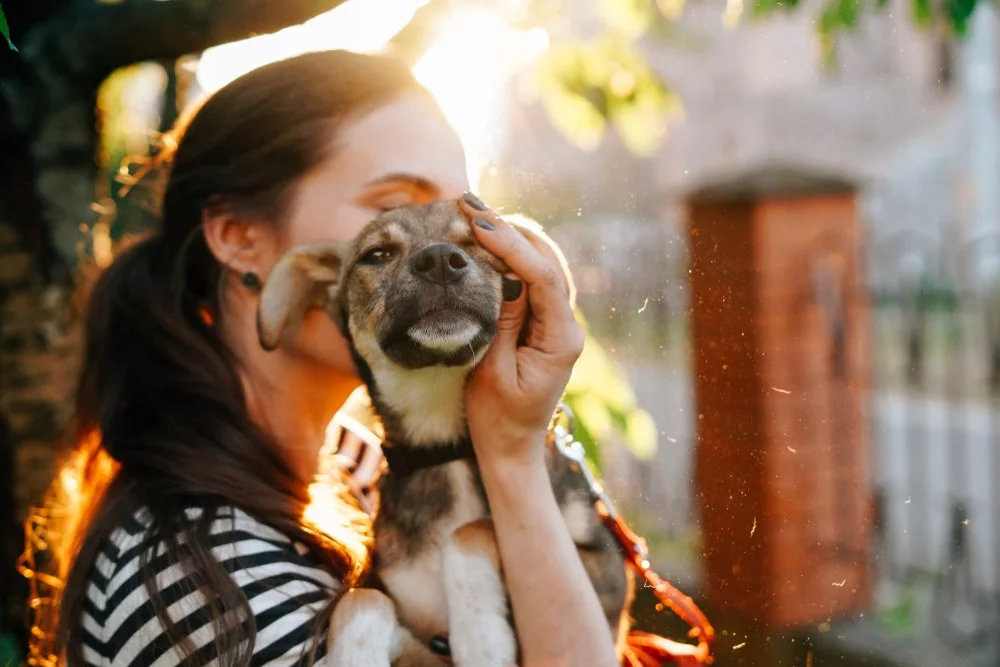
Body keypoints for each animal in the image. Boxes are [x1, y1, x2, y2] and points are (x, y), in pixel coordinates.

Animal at [258, 201, 632, 664]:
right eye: (377, 255)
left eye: (476, 239)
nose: (439, 261)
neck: (443, 445)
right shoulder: (417, 635)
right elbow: (362, 598)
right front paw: (356, 655)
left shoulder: (606, 573)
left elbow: (469, 530)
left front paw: (481, 636)